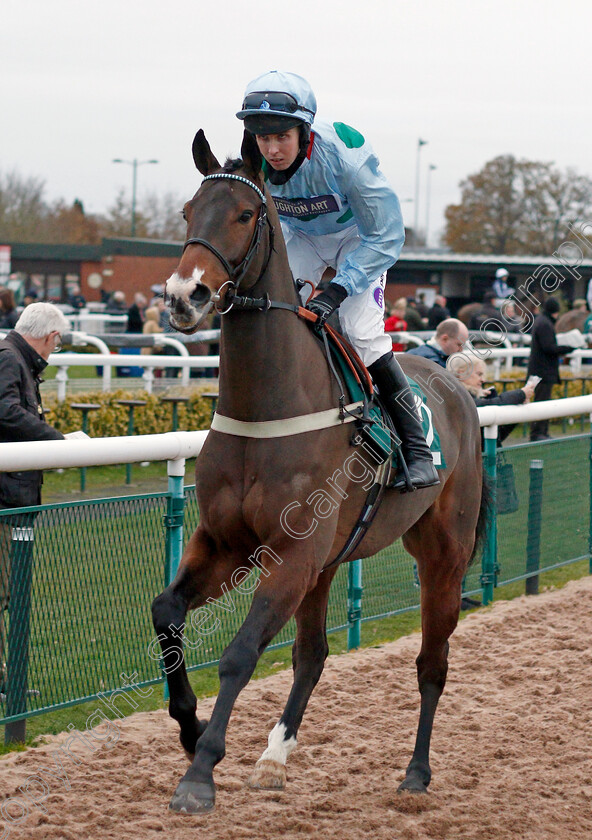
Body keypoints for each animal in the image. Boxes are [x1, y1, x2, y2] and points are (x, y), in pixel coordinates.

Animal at [151, 130, 486, 812]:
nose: (183, 296)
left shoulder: (291, 554)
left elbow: (240, 653)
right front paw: (190, 726)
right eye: (188, 212)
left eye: (244, 214)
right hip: (331, 559)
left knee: (432, 662)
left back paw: (416, 773)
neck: (269, 405)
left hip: (443, 551)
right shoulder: (226, 543)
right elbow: (166, 611)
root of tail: (456, 387)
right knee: (313, 654)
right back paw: (274, 757)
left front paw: (201, 771)